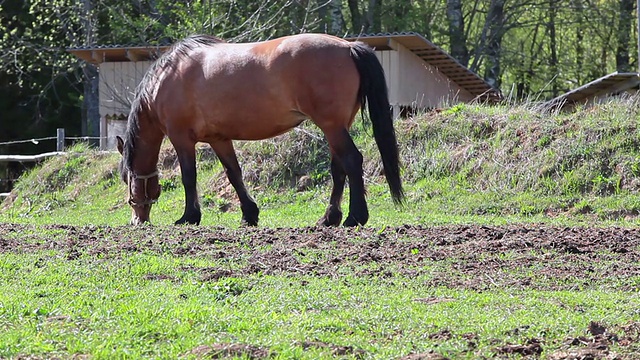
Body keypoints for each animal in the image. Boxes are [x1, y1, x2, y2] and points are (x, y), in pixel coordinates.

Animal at [116, 33, 400, 225]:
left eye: (127, 178)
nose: (137, 220)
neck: (167, 78)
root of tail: (348, 47)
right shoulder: (219, 139)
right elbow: (234, 174)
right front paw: (249, 214)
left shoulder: (181, 139)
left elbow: (189, 177)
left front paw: (189, 217)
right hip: (337, 127)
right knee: (338, 167)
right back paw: (329, 218)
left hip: (331, 126)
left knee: (351, 160)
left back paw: (355, 217)